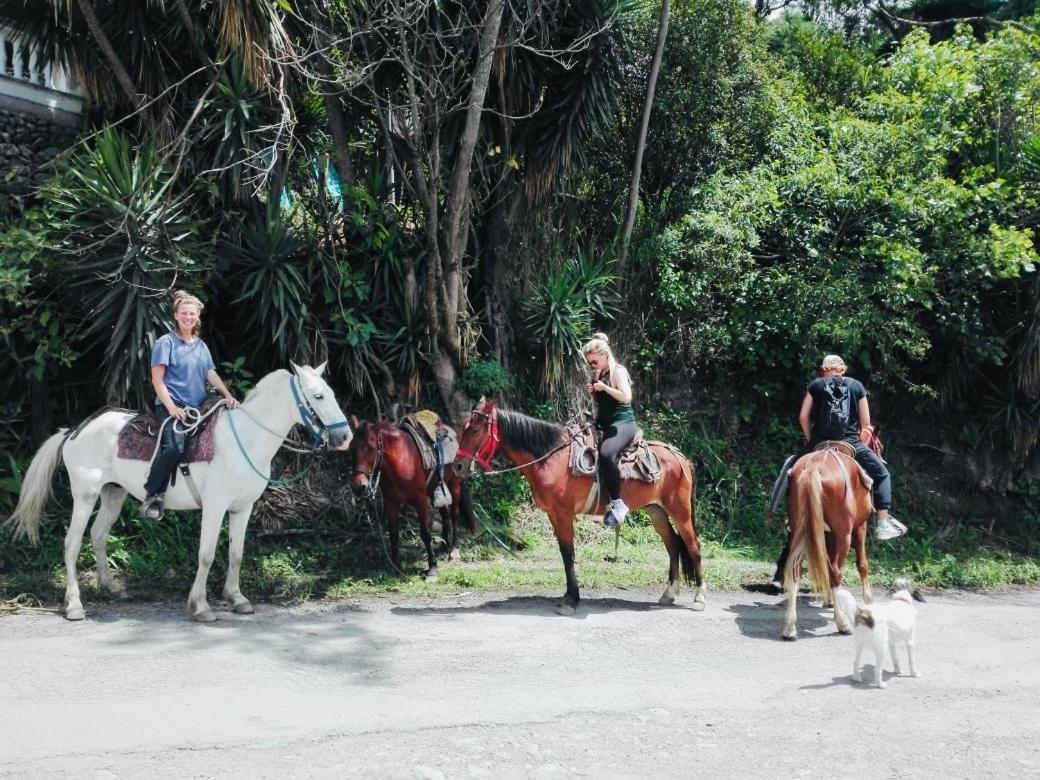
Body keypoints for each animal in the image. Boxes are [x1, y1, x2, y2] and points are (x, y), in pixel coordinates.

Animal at [3, 364, 353, 628]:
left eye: (333, 394)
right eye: (318, 396)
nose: (345, 437)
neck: (245, 440)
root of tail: (74, 430)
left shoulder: (242, 508)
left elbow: (236, 553)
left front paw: (237, 599)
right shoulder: (214, 508)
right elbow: (207, 555)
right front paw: (201, 607)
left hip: (113, 494)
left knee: (99, 535)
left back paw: (113, 588)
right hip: (85, 495)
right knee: (72, 543)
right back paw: (74, 605)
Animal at [349, 422, 478, 582]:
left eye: (371, 448)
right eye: (351, 448)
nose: (358, 486)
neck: (400, 461)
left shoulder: (420, 500)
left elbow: (425, 534)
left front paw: (432, 568)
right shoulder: (391, 503)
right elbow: (393, 534)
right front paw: (396, 566)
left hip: (454, 484)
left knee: (453, 515)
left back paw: (453, 550)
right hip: (437, 488)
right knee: (445, 515)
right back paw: (444, 547)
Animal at [451, 403, 703, 615]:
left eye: (475, 430)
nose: (458, 466)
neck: (551, 457)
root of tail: (681, 458)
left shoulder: (563, 514)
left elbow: (568, 554)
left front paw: (571, 600)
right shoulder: (553, 515)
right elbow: (565, 555)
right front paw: (569, 596)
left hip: (680, 511)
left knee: (693, 546)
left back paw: (699, 597)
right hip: (656, 511)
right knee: (673, 545)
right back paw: (669, 594)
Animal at [782, 445, 873, 640]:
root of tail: (814, 468)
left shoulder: (826, 534)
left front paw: (829, 599)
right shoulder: (860, 527)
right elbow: (862, 564)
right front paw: (868, 599)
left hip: (799, 531)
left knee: (795, 570)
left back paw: (790, 628)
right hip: (843, 535)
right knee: (836, 572)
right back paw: (842, 623)